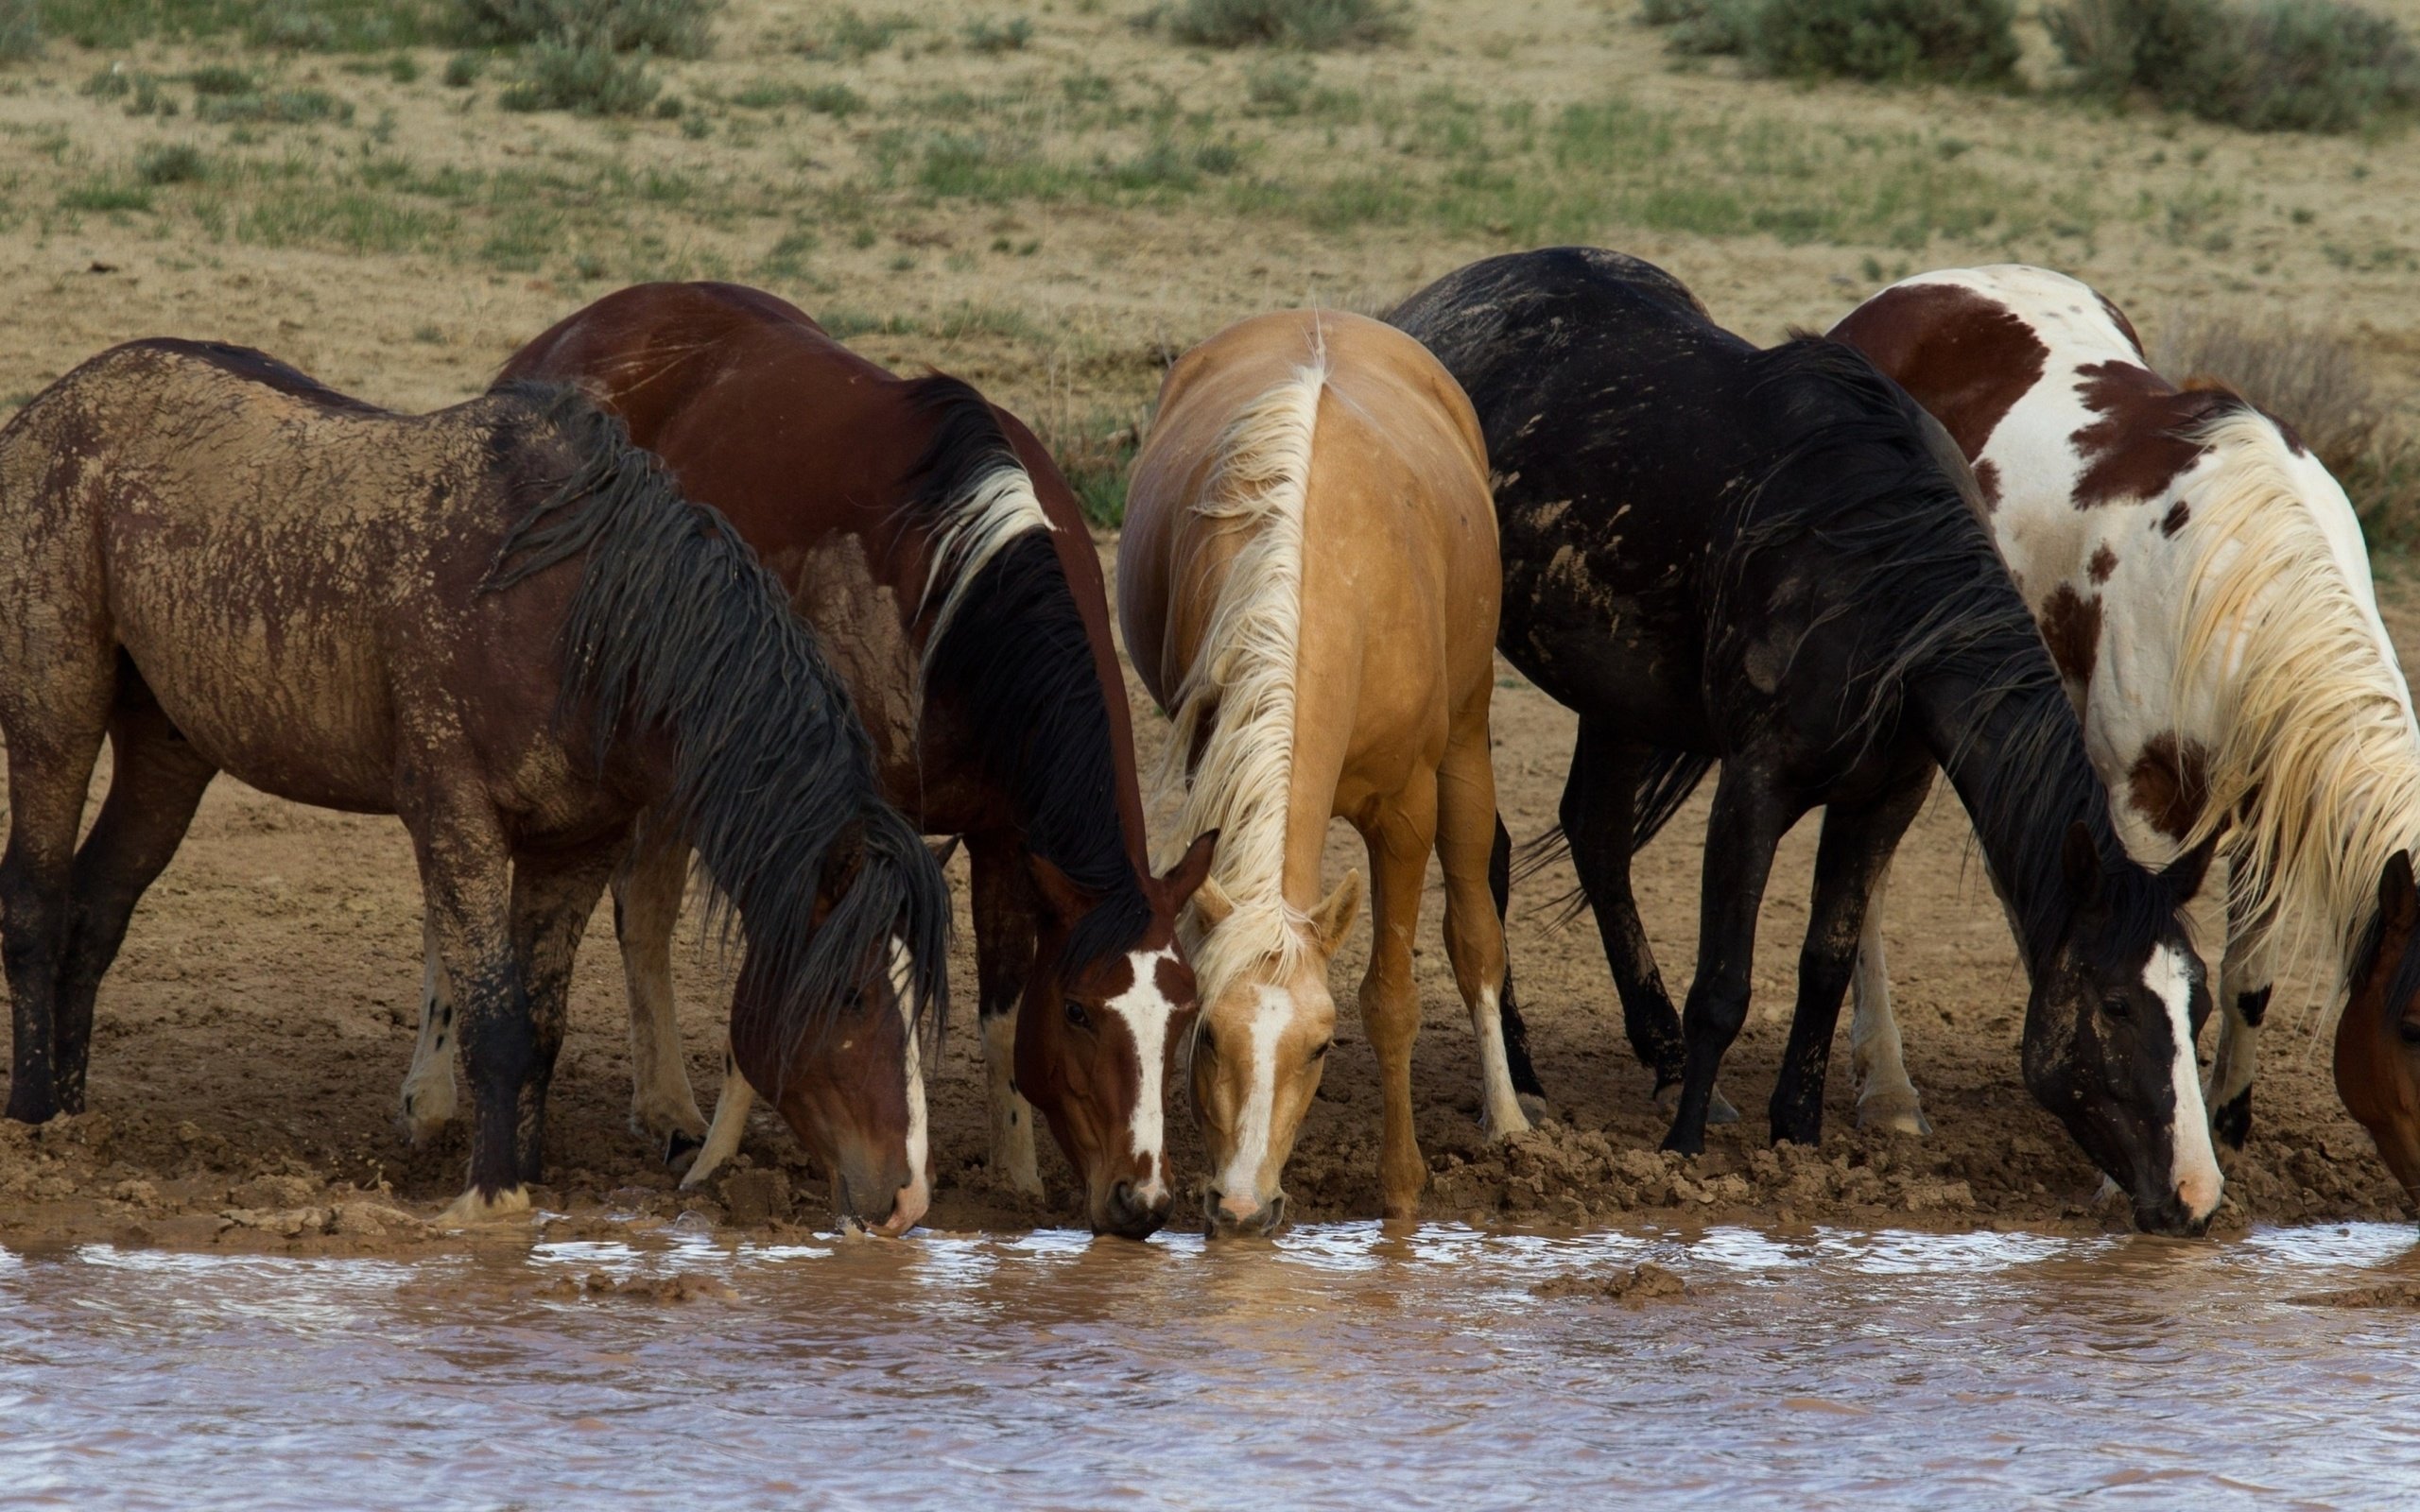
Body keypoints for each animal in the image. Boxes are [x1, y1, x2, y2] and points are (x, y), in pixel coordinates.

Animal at [0, 338, 948, 1228]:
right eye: (854, 995)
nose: (906, 1199)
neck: (578, 617)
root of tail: (46, 411)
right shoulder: (455, 818)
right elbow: (495, 1023)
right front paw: (492, 1199)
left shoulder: (576, 846)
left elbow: (541, 1026)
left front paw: (524, 1178)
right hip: (55, 712)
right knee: (36, 905)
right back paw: (36, 1120)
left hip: (168, 746)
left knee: (96, 909)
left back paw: (78, 1121)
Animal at [408, 283, 1229, 1238]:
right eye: (1081, 1011)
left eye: (1184, 1013)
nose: (1142, 1201)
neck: (952, 595)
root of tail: (553, 344)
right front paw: (721, 1168)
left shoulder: (1003, 837)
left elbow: (996, 1011)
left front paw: (1018, 1176)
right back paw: (431, 1094)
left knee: (641, 908)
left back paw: (667, 1110)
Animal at [1117, 312, 1519, 1233]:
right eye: (1208, 1038)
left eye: (1320, 1048)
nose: (1239, 1206)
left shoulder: (1405, 812)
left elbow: (1393, 998)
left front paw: (1401, 1189)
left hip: (1468, 736)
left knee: (1476, 933)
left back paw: (1509, 1118)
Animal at [1393, 248, 2216, 1233]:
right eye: (2118, 1005)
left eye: (2199, 1007)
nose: (2196, 1195)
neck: (1875, 588)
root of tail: (1423, 309)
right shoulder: (1757, 784)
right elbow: (1724, 983)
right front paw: (1685, 1148)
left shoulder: (1884, 797)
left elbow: (1825, 959)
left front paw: (1797, 1131)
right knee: (1490, 853)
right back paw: (1526, 1078)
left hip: (1618, 694)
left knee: (1595, 836)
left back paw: (1661, 1057)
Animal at [1829, 262, 2420, 1204]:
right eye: (2411, 1025)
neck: (2235, 585)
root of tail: (1898, 300)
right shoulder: (2146, 806)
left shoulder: (2265, 809)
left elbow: (2247, 981)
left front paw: (2224, 1127)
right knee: (1867, 882)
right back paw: (1887, 1091)